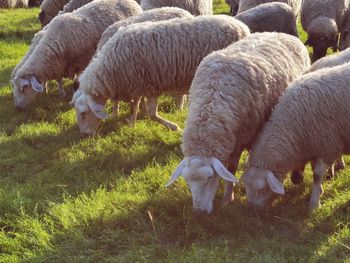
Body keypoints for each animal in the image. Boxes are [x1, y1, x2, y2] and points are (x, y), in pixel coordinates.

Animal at [13, 0, 142, 110]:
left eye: (24, 87)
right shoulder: (59, 63)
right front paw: (61, 93)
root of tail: (131, 2)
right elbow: (59, 79)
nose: (17, 107)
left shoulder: (82, 62)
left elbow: (76, 82)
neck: (57, 41)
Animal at [71, 16, 250, 136]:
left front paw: (174, 127)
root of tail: (242, 27)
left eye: (83, 113)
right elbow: (135, 106)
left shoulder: (149, 86)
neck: (110, 68)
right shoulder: (137, 85)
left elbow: (151, 114)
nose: (84, 135)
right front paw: (132, 124)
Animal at [165, 32, 310, 216]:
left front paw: (228, 197)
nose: (199, 212)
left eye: (210, 178)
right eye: (187, 181)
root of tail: (281, 33)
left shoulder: (239, 140)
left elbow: (231, 169)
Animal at [242, 62, 350, 212]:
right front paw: (320, 192)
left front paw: (314, 204)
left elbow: (317, 175)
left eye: (260, 190)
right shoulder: (315, 146)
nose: (253, 211)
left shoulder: (328, 145)